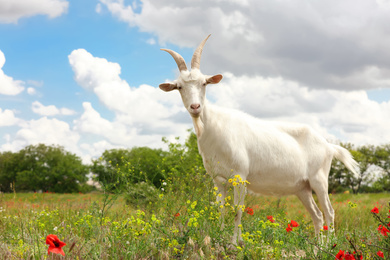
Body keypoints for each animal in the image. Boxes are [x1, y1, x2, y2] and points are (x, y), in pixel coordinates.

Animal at [158, 34, 356, 244]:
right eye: (179, 87)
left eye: (204, 83)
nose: (195, 107)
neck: (214, 128)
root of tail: (329, 146)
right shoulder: (218, 180)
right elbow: (220, 210)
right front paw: (220, 237)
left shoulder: (240, 176)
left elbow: (237, 211)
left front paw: (234, 243)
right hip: (302, 188)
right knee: (317, 215)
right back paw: (317, 246)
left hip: (319, 180)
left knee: (329, 212)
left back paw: (330, 244)